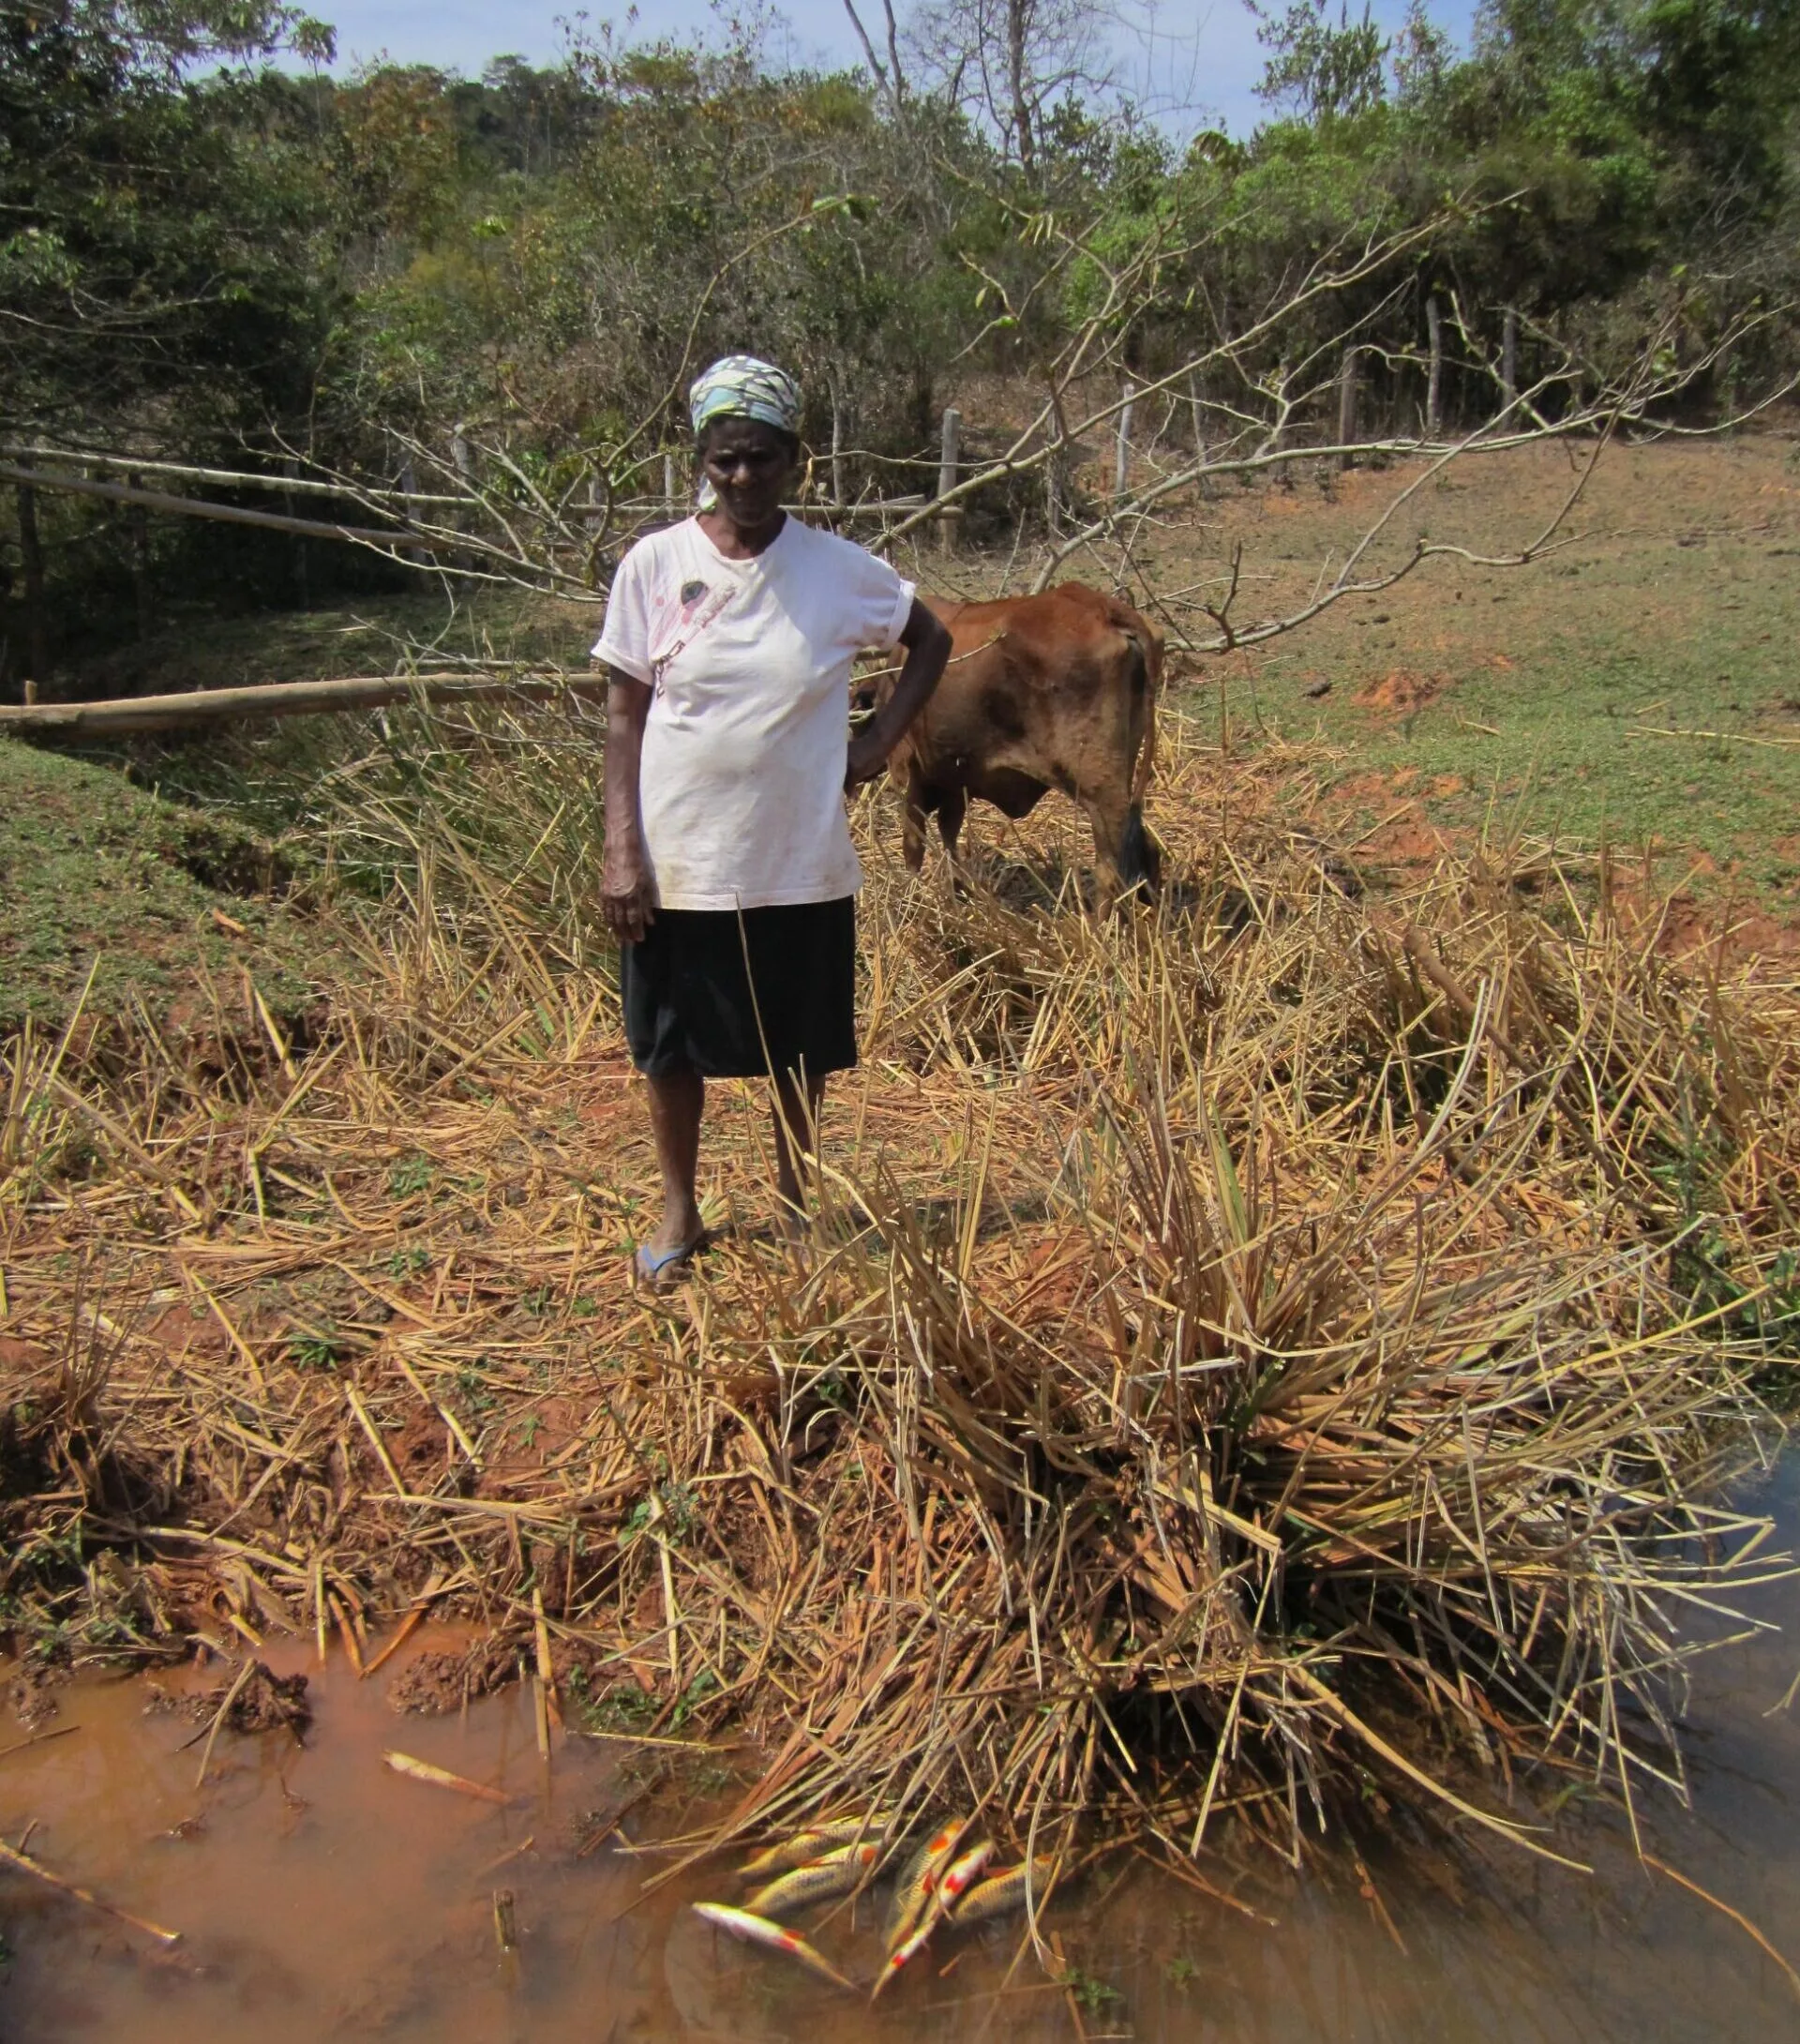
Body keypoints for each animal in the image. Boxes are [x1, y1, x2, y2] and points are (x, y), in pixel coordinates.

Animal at [886, 580, 1168, 891]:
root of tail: (1105, 608)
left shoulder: (907, 766)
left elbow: (914, 840)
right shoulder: (955, 777)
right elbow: (947, 830)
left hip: (1099, 786)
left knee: (1110, 868)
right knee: (1146, 850)